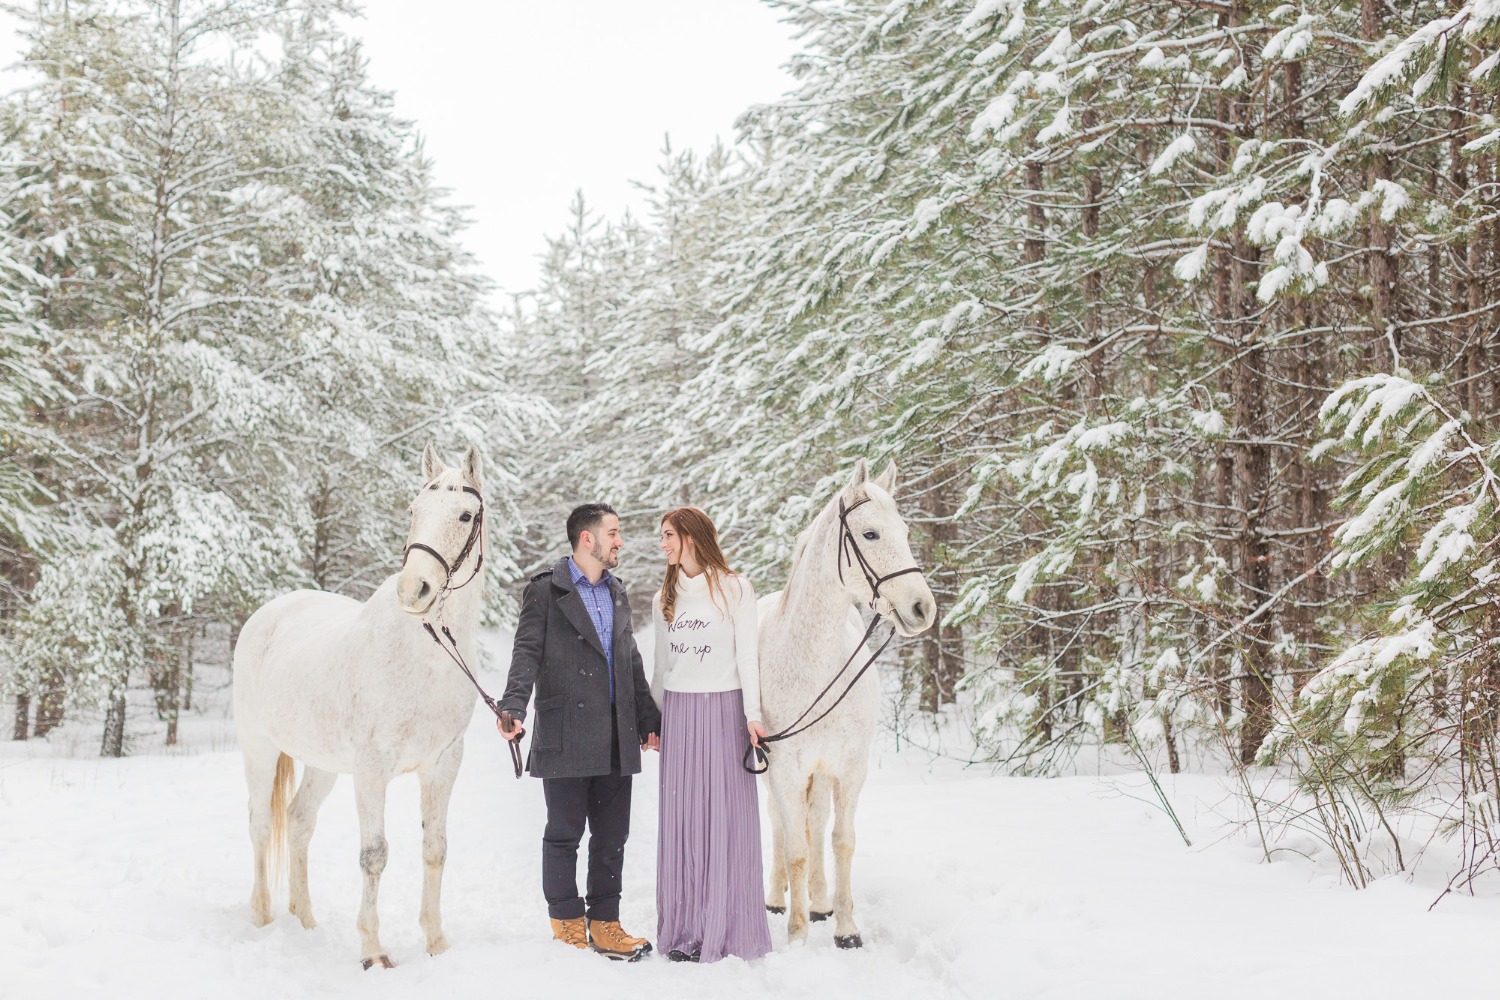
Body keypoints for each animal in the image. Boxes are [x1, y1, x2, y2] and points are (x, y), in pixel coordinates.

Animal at [231, 446, 486, 971]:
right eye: (413, 510)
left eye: (464, 515)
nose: (414, 590)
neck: (427, 654)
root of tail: (268, 614)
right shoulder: (372, 769)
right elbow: (375, 855)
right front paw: (373, 951)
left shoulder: (444, 763)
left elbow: (435, 849)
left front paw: (436, 942)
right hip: (258, 749)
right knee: (261, 823)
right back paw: (262, 915)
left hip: (323, 763)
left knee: (299, 822)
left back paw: (306, 920)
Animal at [762, 458, 936, 947]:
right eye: (870, 534)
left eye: (905, 530)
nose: (923, 608)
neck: (816, 664)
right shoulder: (784, 768)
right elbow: (796, 848)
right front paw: (796, 936)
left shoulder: (851, 766)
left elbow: (841, 839)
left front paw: (845, 927)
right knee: (782, 826)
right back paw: (779, 899)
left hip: (823, 771)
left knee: (817, 821)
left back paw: (820, 902)